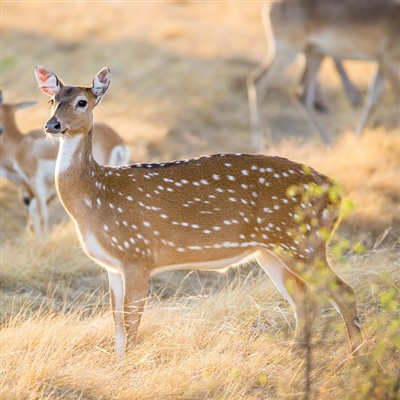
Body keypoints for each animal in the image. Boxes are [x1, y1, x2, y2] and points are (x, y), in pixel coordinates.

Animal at [0, 90, 131, 238]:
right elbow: (34, 207)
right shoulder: (44, 184)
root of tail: (118, 142)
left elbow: (41, 212)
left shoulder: (34, 180)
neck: (19, 143)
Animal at [36, 66, 364, 360]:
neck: (97, 198)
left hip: (301, 243)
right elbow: (116, 322)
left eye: (82, 102)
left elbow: (132, 322)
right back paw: (297, 354)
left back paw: (356, 358)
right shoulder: (112, 265)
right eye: (52, 100)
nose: (52, 125)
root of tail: (335, 193)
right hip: (273, 251)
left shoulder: (137, 254)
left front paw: (129, 366)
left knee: (343, 292)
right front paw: (117, 365)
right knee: (304, 299)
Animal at [247, 0, 400, 150]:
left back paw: (328, 142)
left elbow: (372, 101)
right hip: (287, 52)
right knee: (257, 82)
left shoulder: (381, 64)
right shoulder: (390, 61)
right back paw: (258, 144)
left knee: (300, 92)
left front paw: (356, 141)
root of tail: (270, 6)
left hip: (314, 55)